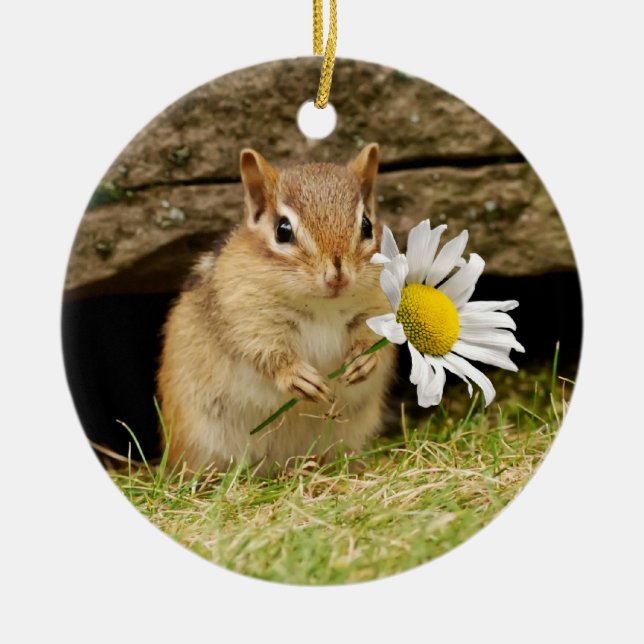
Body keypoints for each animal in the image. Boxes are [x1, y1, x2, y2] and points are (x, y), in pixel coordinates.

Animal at [156, 143, 396, 476]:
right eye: (283, 230)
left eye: (367, 226)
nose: (337, 276)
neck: (323, 305)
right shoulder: (248, 317)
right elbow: (265, 353)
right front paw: (298, 377)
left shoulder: (377, 306)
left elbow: (377, 341)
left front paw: (363, 361)